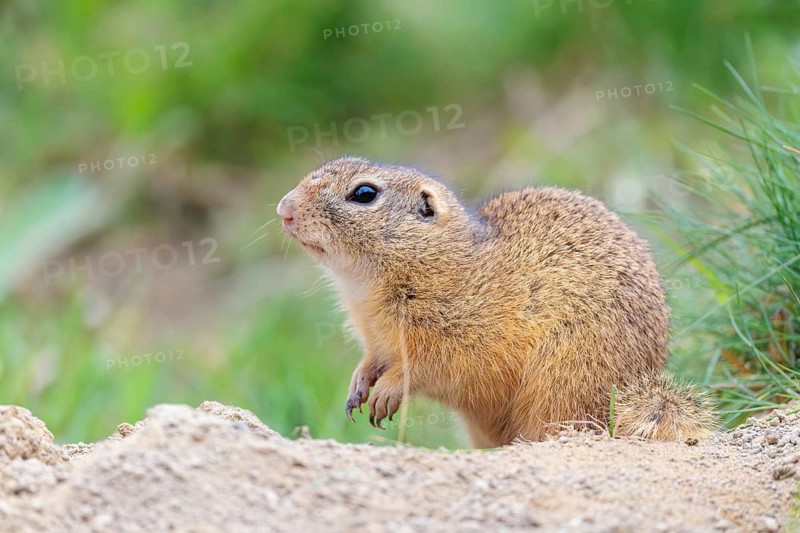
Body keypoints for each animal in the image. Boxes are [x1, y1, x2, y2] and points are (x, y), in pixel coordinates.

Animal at [277, 156, 717, 447]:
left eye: (364, 193)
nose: (284, 208)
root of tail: (639, 384)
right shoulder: (375, 339)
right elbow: (372, 359)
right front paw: (358, 385)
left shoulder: (456, 335)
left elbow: (424, 366)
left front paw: (387, 391)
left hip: (565, 378)